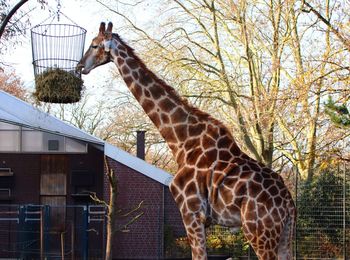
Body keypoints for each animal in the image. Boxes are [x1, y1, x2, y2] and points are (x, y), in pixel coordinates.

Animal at [76, 22, 296, 260]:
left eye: (94, 45)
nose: (80, 66)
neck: (181, 141)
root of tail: (289, 204)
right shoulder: (200, 218)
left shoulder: (191, 212)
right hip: (283, 236)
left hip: (259, 232)